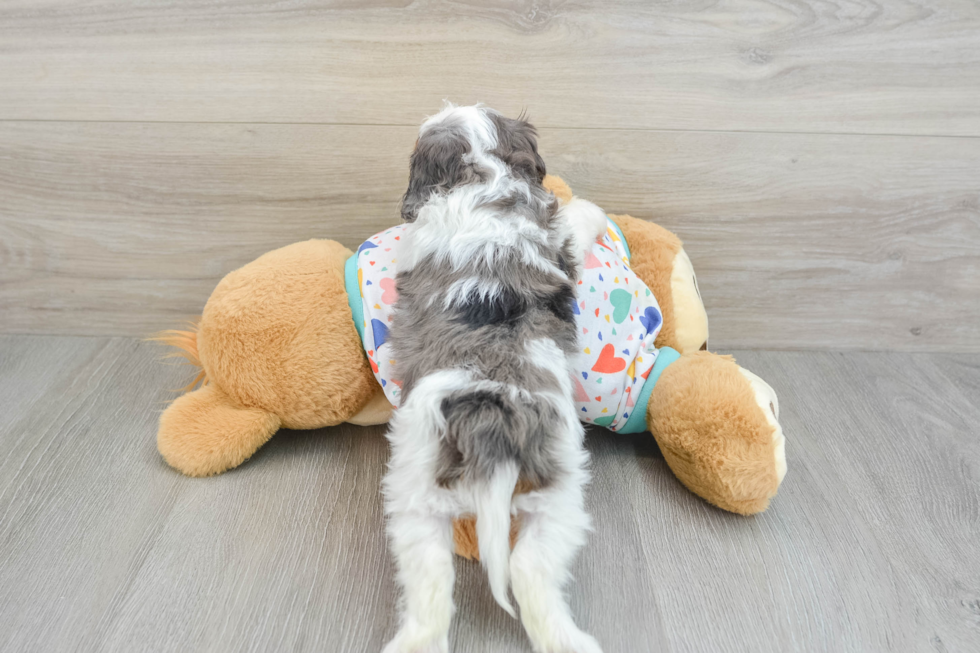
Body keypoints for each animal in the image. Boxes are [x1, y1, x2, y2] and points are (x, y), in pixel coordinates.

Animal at [380, 103, 604, 652]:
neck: (484, 174)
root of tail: (493, 424)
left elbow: (579, 215)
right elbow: (576, 218)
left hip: (417, 493)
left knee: (439, 579)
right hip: (556, 493)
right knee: (527, 569)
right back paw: (570, 640)